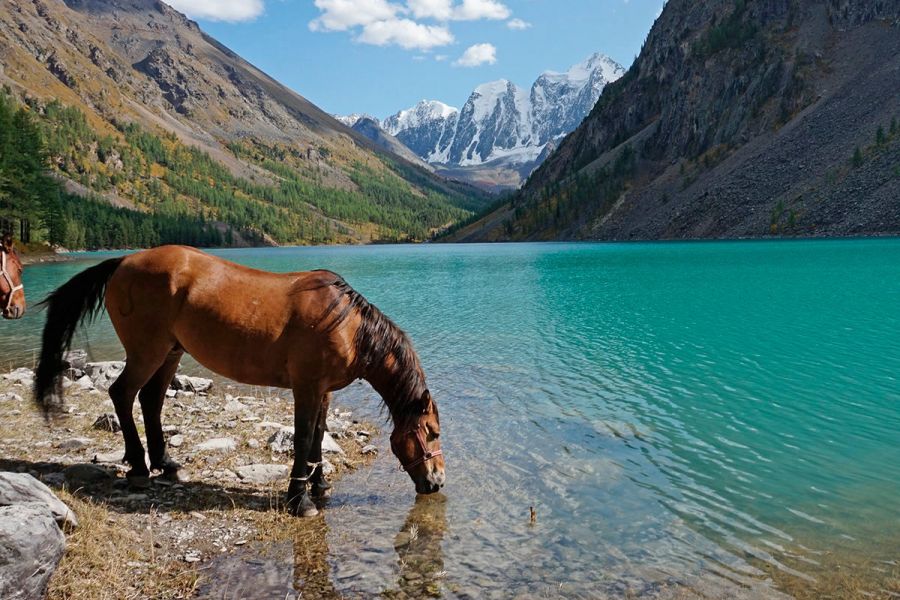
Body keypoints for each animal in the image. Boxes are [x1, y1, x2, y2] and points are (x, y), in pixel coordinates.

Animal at [35, 244, 442, 516]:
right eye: (432, 432)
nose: (436, 483)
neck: (347, 325)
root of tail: (123, 261)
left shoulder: (323, 392)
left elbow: (318, 438)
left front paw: (320, 485)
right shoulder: (307, 388)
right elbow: (304, 438)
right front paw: (299, 500)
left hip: (170, 353)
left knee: (151, 400)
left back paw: (165, 463)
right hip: (146, 352)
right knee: (122, 393)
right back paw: (138, 467)